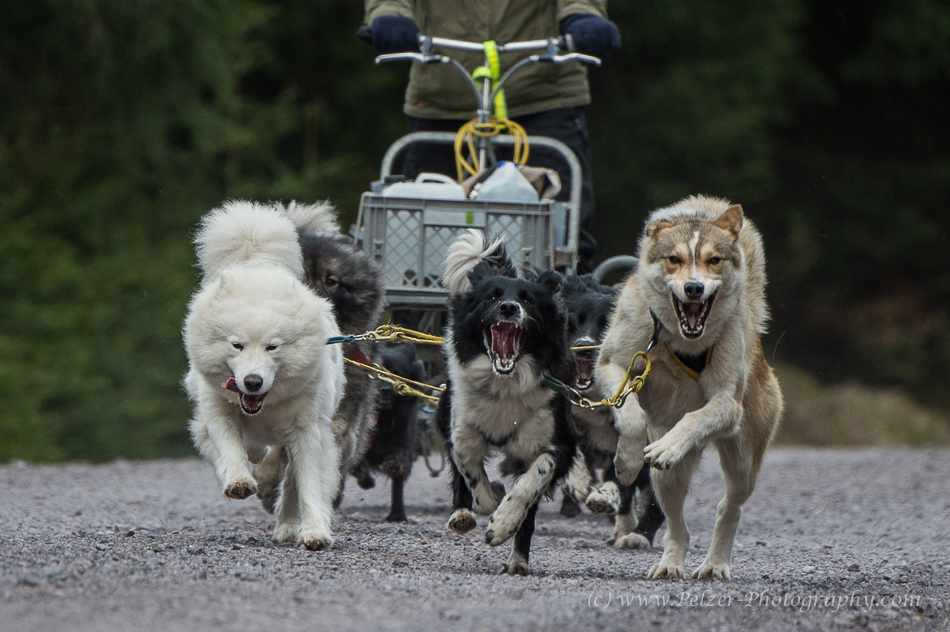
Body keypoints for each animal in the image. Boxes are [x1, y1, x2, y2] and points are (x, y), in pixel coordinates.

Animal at [183, 200, 346, 552]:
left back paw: (287, 525)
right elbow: (230, 447)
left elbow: (307, 485)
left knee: (290, 482)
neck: (263, 409)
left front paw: (314, 532)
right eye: (237, 345)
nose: (252, 381)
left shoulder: (307, 432)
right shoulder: (218, 413)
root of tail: (256, 261)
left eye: (273, 347)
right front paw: (238, 481)